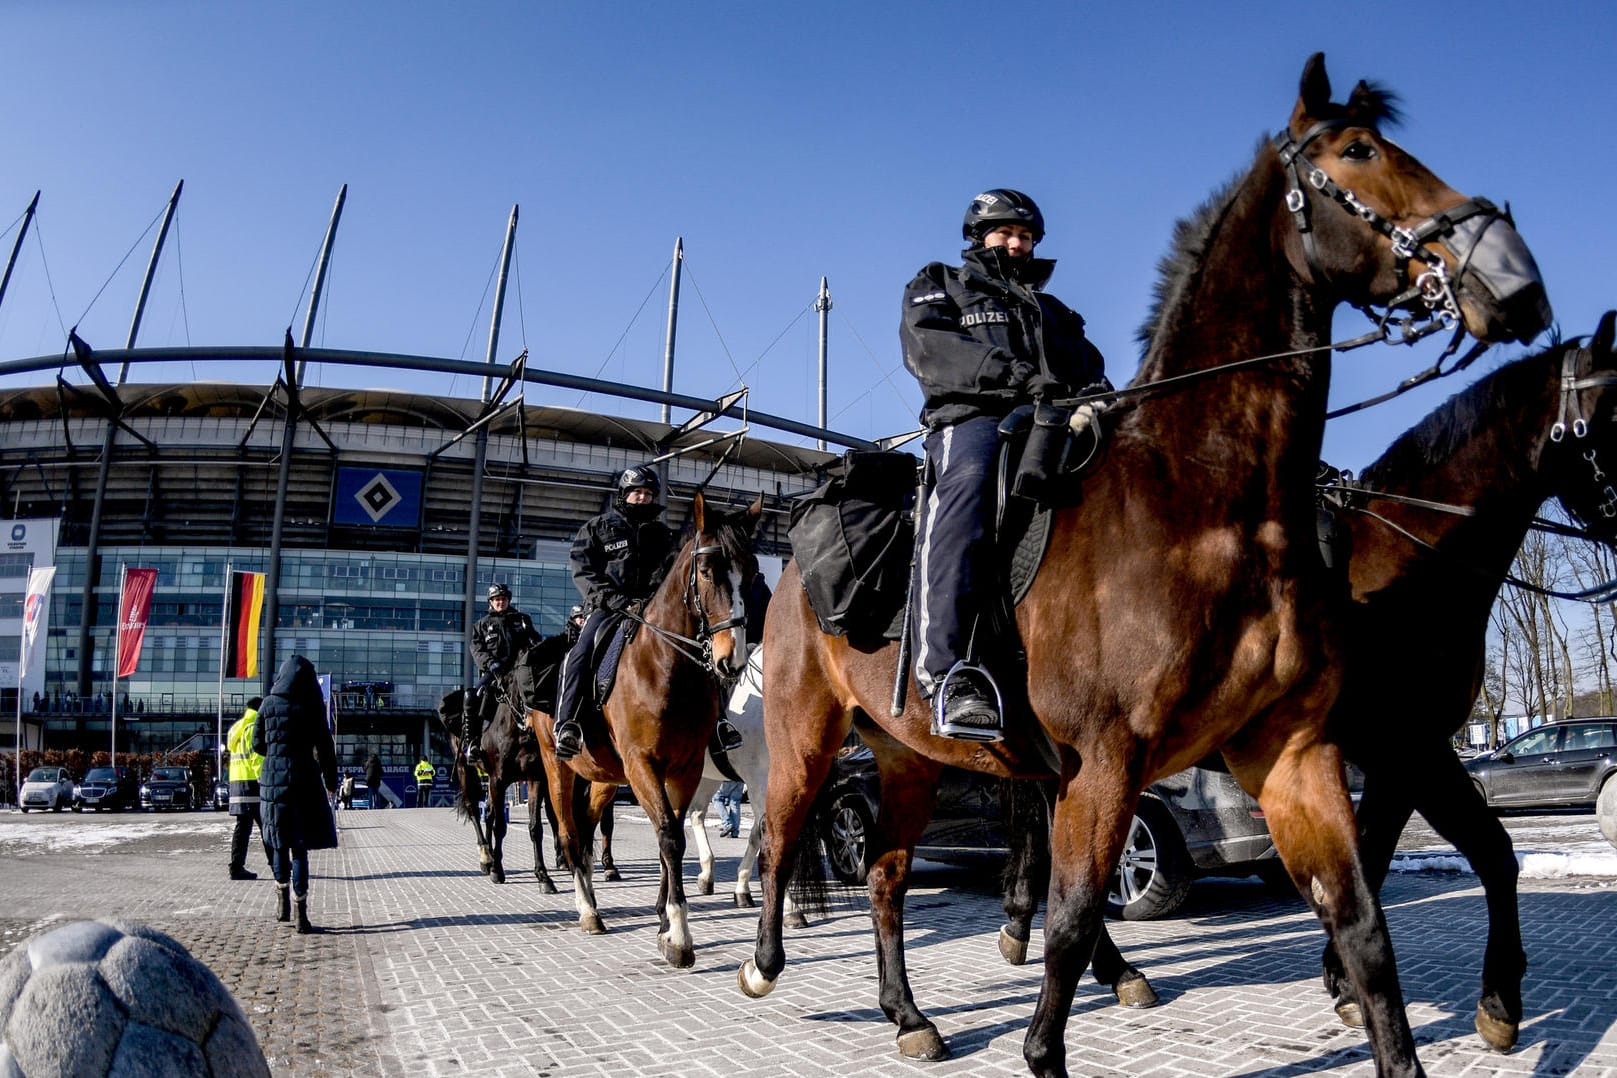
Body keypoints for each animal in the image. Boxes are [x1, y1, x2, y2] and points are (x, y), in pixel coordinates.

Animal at [527, 494, 759, 963]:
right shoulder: (643, 766)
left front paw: (664, 919)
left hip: (603, 777)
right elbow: (669, 836)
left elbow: (672, 836)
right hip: (557, 768)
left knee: (586, 827)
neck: (666, 669)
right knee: (569, 833)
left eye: (753, 573)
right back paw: (587, 909)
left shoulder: (684, 769)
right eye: (707, 571)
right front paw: (679, 936)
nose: (731, 660)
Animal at [740, 56, 1545, 1078]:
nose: (1515, 279)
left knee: (884, 875)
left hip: (906, 757)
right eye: (1359, 152)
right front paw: (1045, 1047)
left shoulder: (1294, 754)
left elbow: (1363, 928)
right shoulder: (1111, 762)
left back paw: (907, 1016)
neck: (1203, 506)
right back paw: (765, 963)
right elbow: (1070, 922)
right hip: (809, 740)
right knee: (780, 840)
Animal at [1319, 310, 1617, 1047]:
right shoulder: (1412, 748)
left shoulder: (1400, 759)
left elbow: (1371, 860)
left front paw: (1342, 981)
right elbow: (1491, 848)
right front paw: (1500, 998)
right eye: (1615, 413)